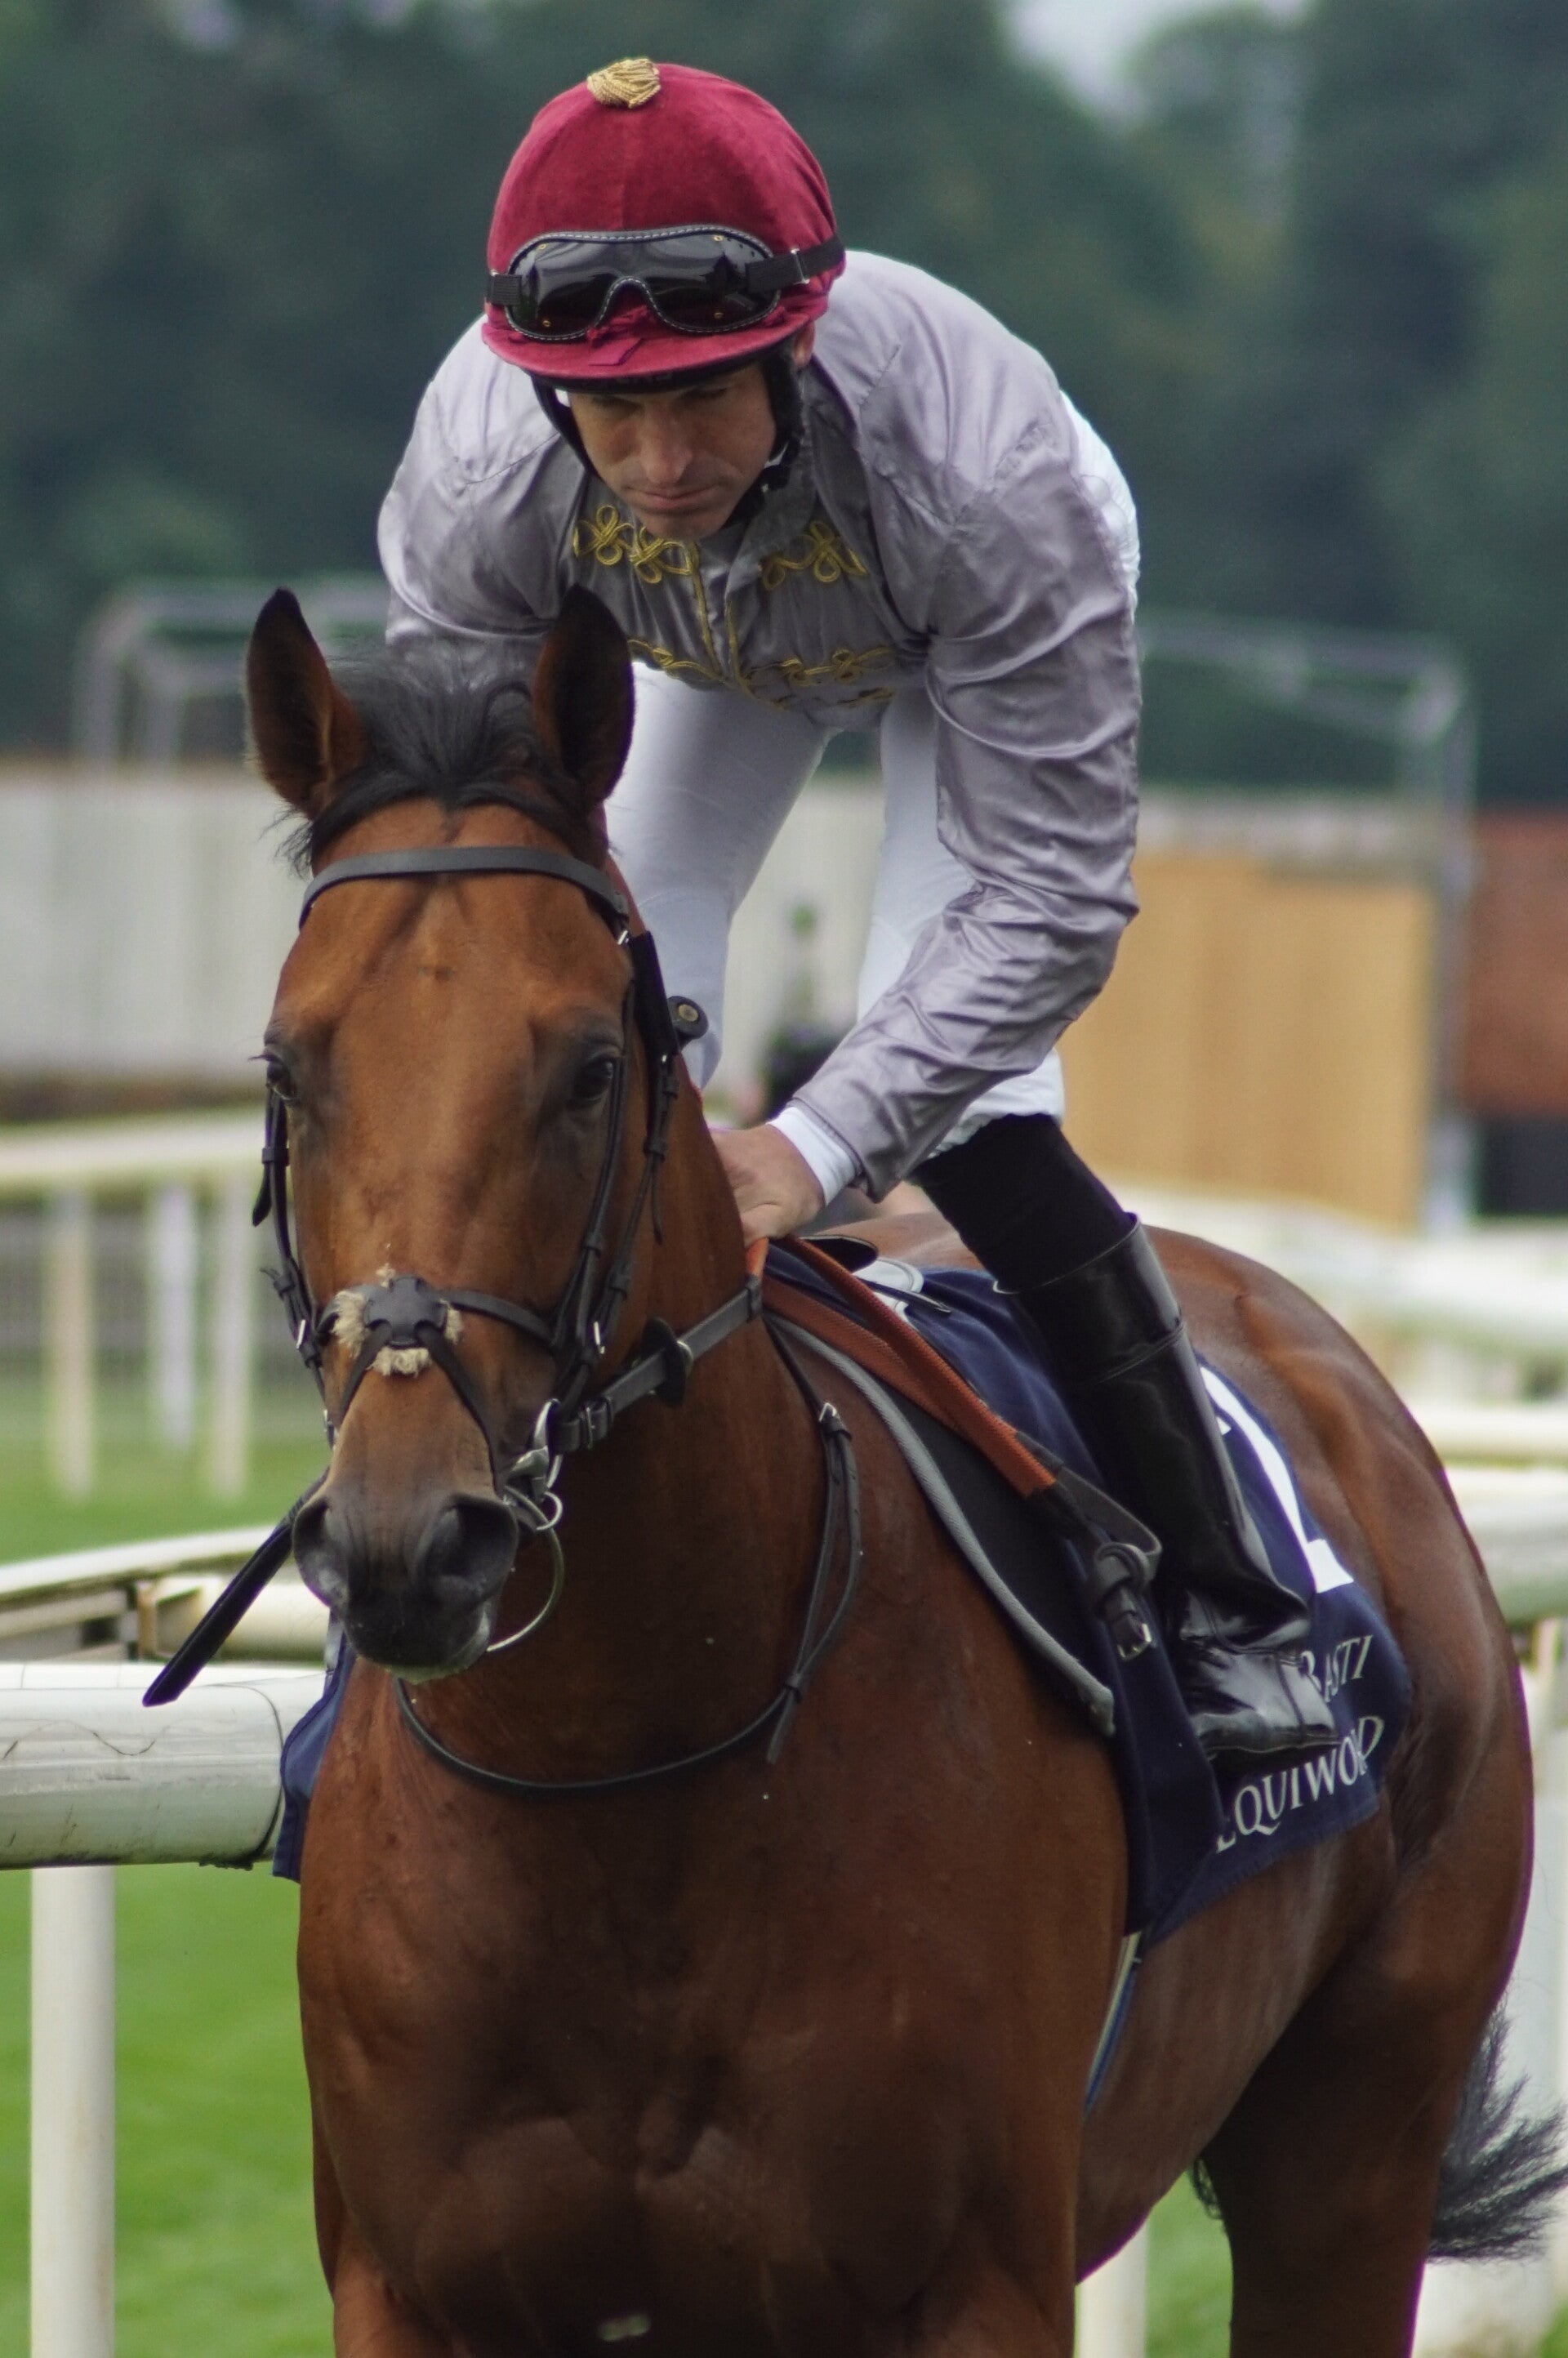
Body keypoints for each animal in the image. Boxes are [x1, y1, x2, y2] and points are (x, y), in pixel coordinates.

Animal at [245, 580, 1545, 2357]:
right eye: (288, 1066)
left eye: (591, 1067)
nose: (406, 1542)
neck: (623, 1774)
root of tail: (1334, 1360)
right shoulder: (409, 2287)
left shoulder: (974, 2282)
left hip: (1356, 2140)